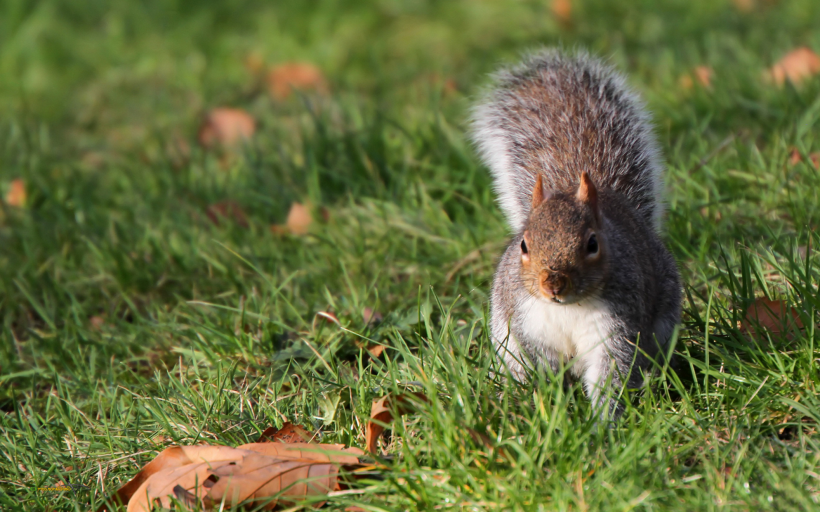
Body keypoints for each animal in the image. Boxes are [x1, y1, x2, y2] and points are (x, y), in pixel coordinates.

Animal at [470, 49, 684, 420]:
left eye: (592, 243)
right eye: (523, 244)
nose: (553, 284)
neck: (568, 308)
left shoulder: (616, 329)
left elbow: (611, 374)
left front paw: (604, 423)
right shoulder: (528, 325)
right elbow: (541, 368)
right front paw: (548, 407)